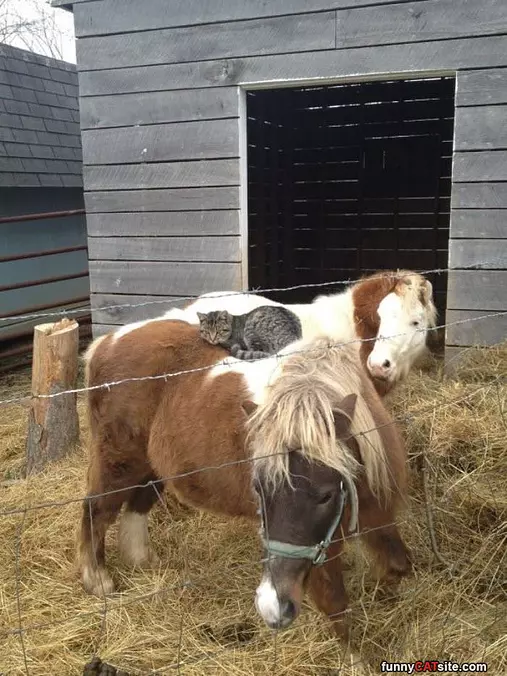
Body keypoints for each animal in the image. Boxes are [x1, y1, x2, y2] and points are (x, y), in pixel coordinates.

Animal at [78, 320, 411, 641]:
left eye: (327, 494)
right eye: (259, 490)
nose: (272, 607)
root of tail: (106, 343)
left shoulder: (377, 515)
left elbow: (398, 564)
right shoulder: (322, 549)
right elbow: (336, 604)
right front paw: (356, 654)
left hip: (152, 468)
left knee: (137, 506)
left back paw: (143, 561)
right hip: (119, 464)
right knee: (96, 510)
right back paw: (98, 580)